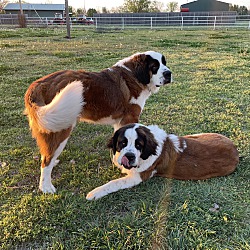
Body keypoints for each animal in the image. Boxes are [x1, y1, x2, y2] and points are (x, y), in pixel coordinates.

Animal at [23, 49, 172, 192]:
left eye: (164, 63)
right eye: (154, 66)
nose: (169, 74)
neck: (135, 75)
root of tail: (38, 84)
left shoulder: (120, 122)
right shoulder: (130, 118)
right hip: (60, 127)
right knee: (46, 160)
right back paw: (46, 186)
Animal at [87, 124, 239, 200]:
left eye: (138, 145)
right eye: (122, 143)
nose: (129, 156)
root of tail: (236, 151)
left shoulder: (137, 177)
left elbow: (113, 183)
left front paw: (94, 193)